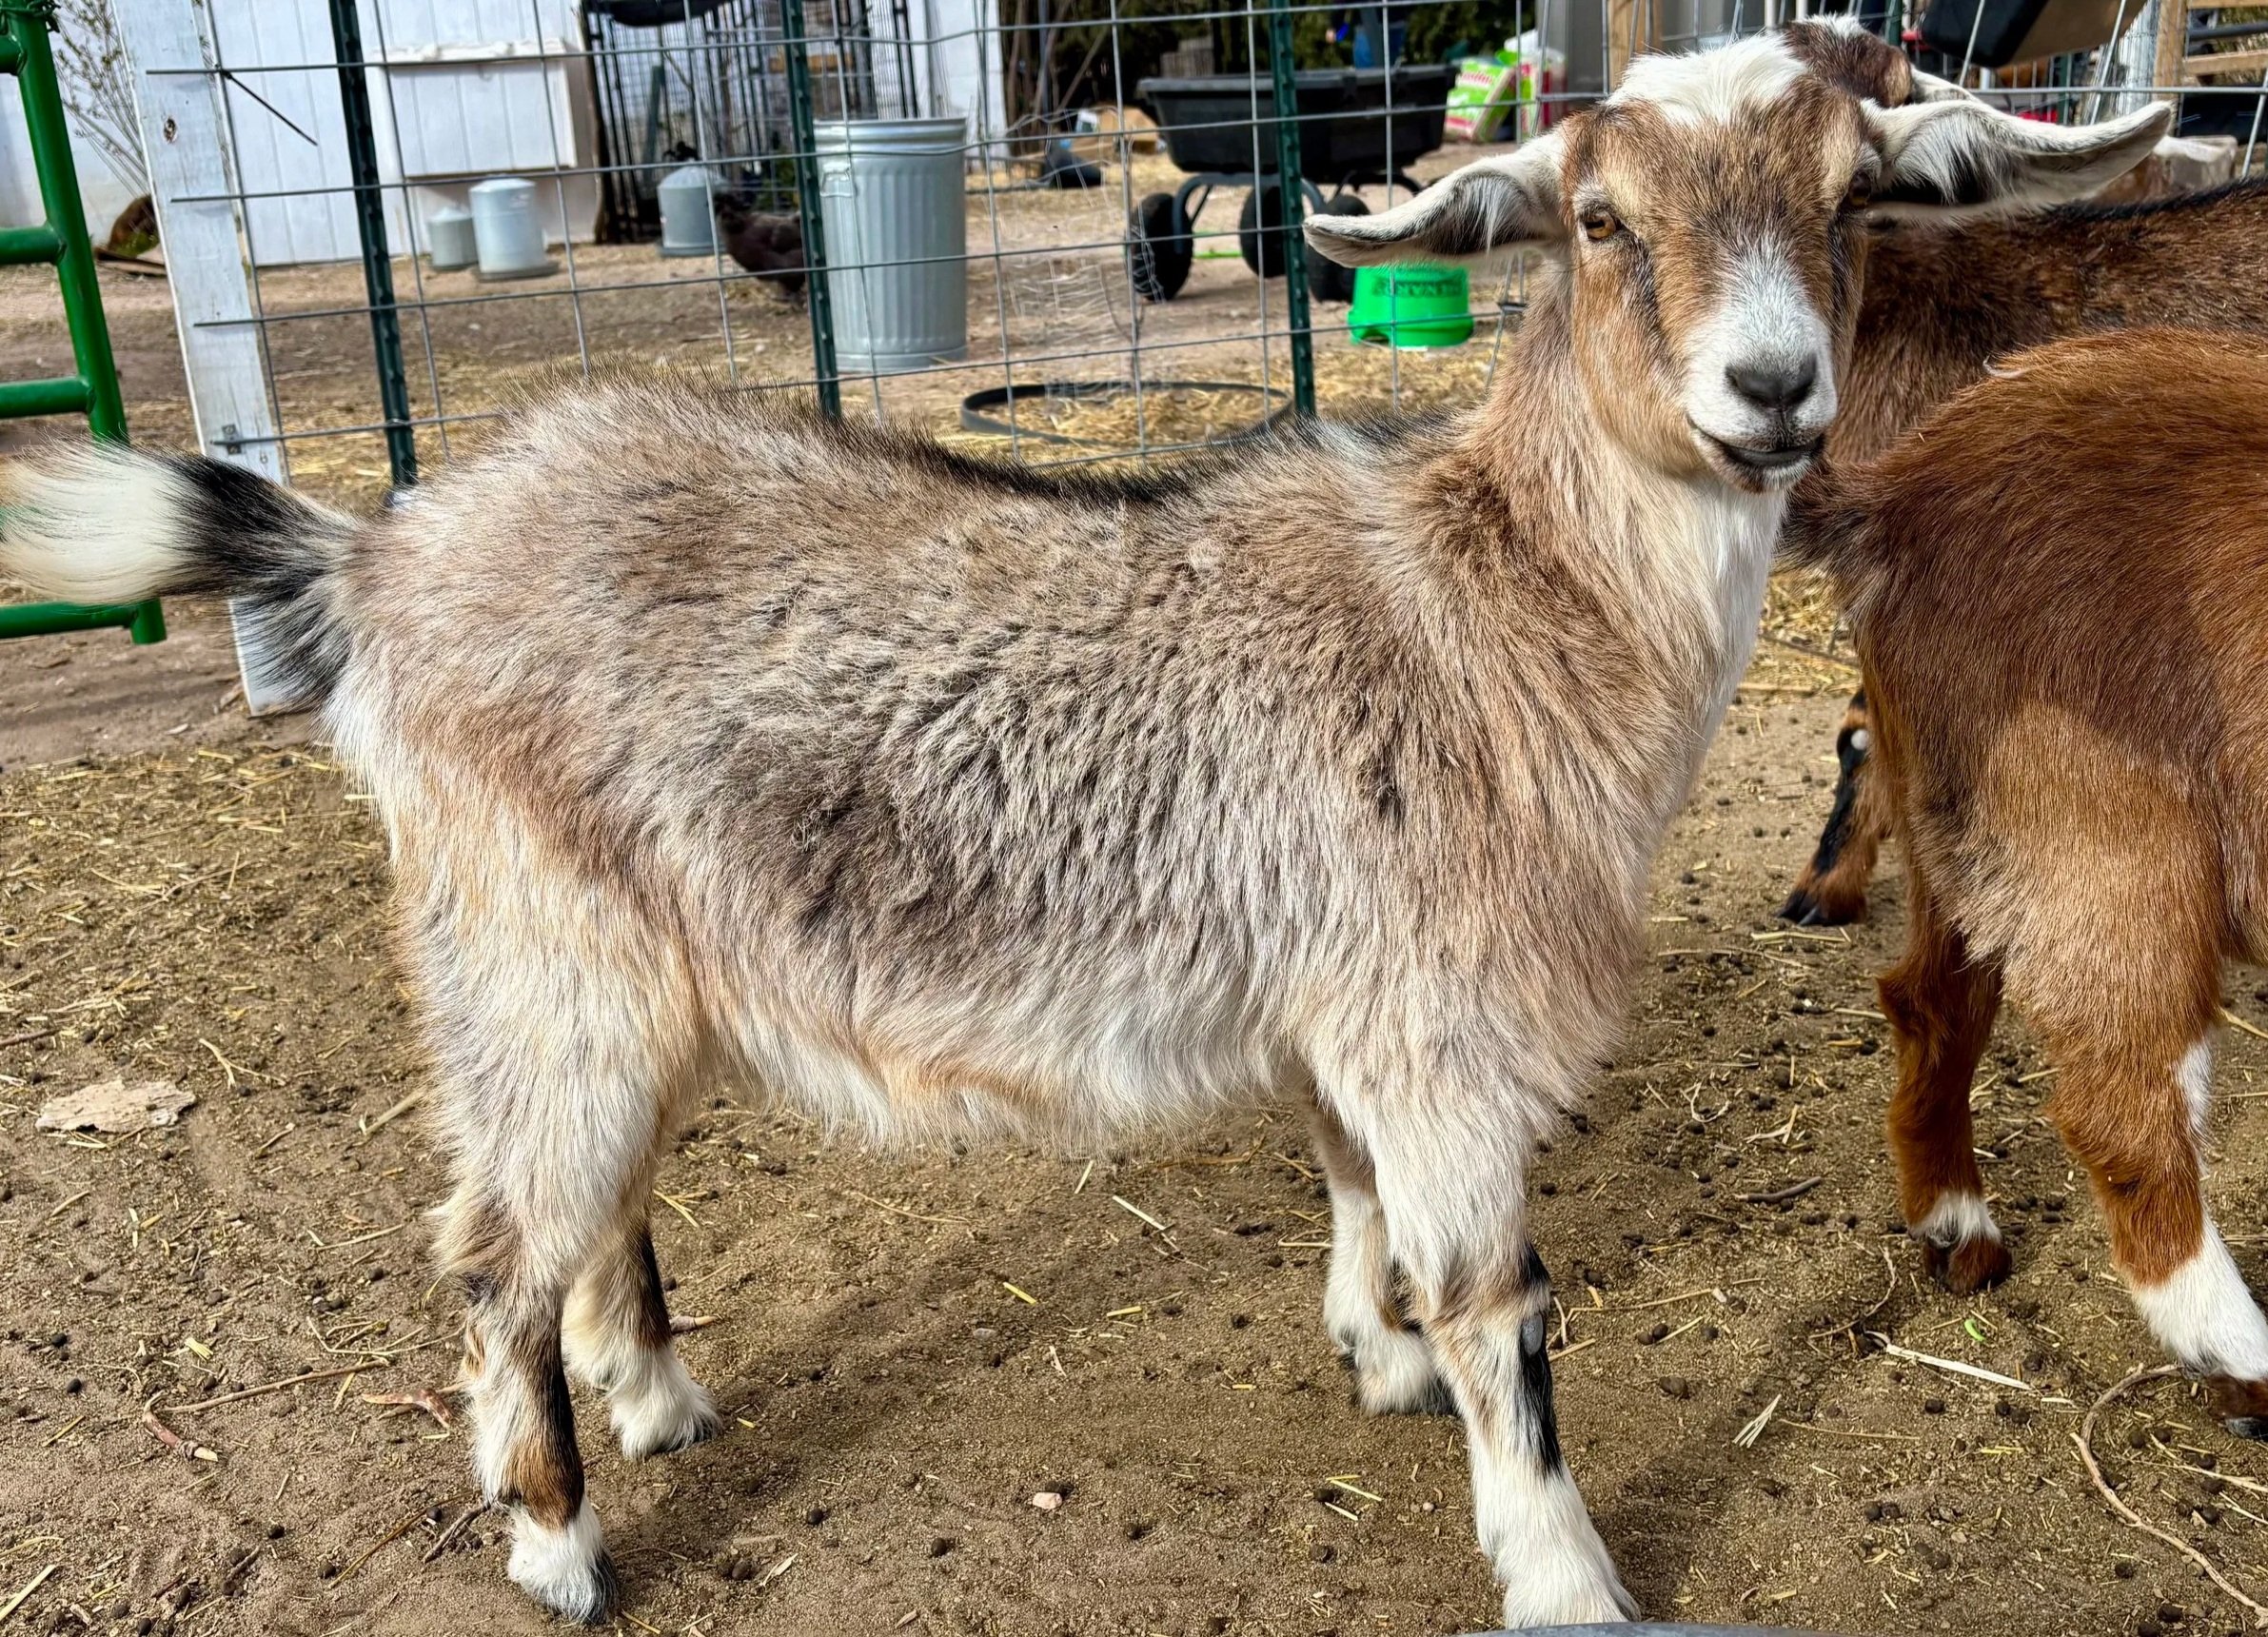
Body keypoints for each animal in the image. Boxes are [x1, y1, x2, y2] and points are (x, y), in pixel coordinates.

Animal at [0, 38, 2162, 1628]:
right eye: (1599, 218)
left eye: (1846, 201)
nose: (1772, 391)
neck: (1499, 606)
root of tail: (383, 557)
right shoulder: (1438, 1015)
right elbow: (1505, 1311)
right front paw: (1562, 1570)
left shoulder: (1339, 993)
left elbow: (1347, 1184)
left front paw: (1370, 1353)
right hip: (536, 949)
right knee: (490, 1248)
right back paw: (553, 1535)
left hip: (623, 958)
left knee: (587, 1206)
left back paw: (659, 1392)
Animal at [1783, 328, 2268, 1422]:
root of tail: (1900, 491)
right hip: (2115, 845)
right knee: (2121, 1101)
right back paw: (2241, 1356)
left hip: (1959, 831)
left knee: (1928, 1000)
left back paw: (1957, 1228)